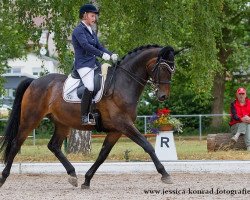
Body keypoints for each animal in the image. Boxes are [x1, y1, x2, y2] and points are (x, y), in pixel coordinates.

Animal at [0, 44, 176, 188]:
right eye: (163, 68)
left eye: (172, 70)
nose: (163, 96)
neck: (123, 83)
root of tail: (34, 81)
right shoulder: (124, 124)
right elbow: (147, 145)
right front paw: (165, 174)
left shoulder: (116, 130)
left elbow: (103, 154)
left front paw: (87, 180)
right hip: (31, 119)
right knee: (16, 144)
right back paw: (3, 177)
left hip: (62, 123)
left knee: (54, 146)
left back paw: (72, 175)